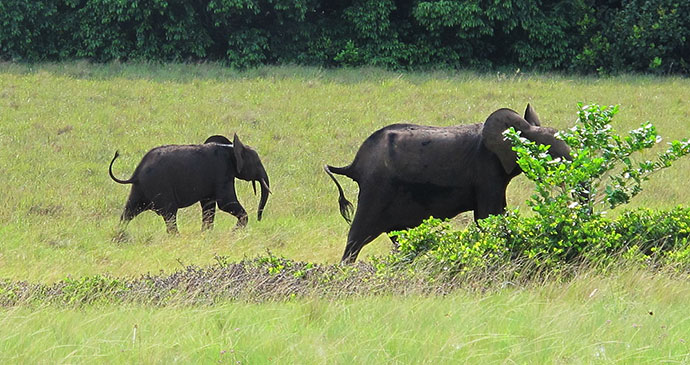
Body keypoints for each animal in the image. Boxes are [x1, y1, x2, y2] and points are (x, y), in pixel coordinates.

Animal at [109, 134, 268, 233]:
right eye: (256, 163)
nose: (259, 219)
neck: (229, 147)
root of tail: (136, 174)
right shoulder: (222, 172)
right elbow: (225, 203)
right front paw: (234, 231)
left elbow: (209, 205)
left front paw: (206, 233)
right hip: (159, 186)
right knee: (170, 213)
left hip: (140, 188)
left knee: (129, 211)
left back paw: (118, 236)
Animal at [326, 104, 568, 262]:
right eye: (548, 152)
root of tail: (354, 164)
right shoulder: (486, 169)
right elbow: (487, 216)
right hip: (376, 188)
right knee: (358, 236)